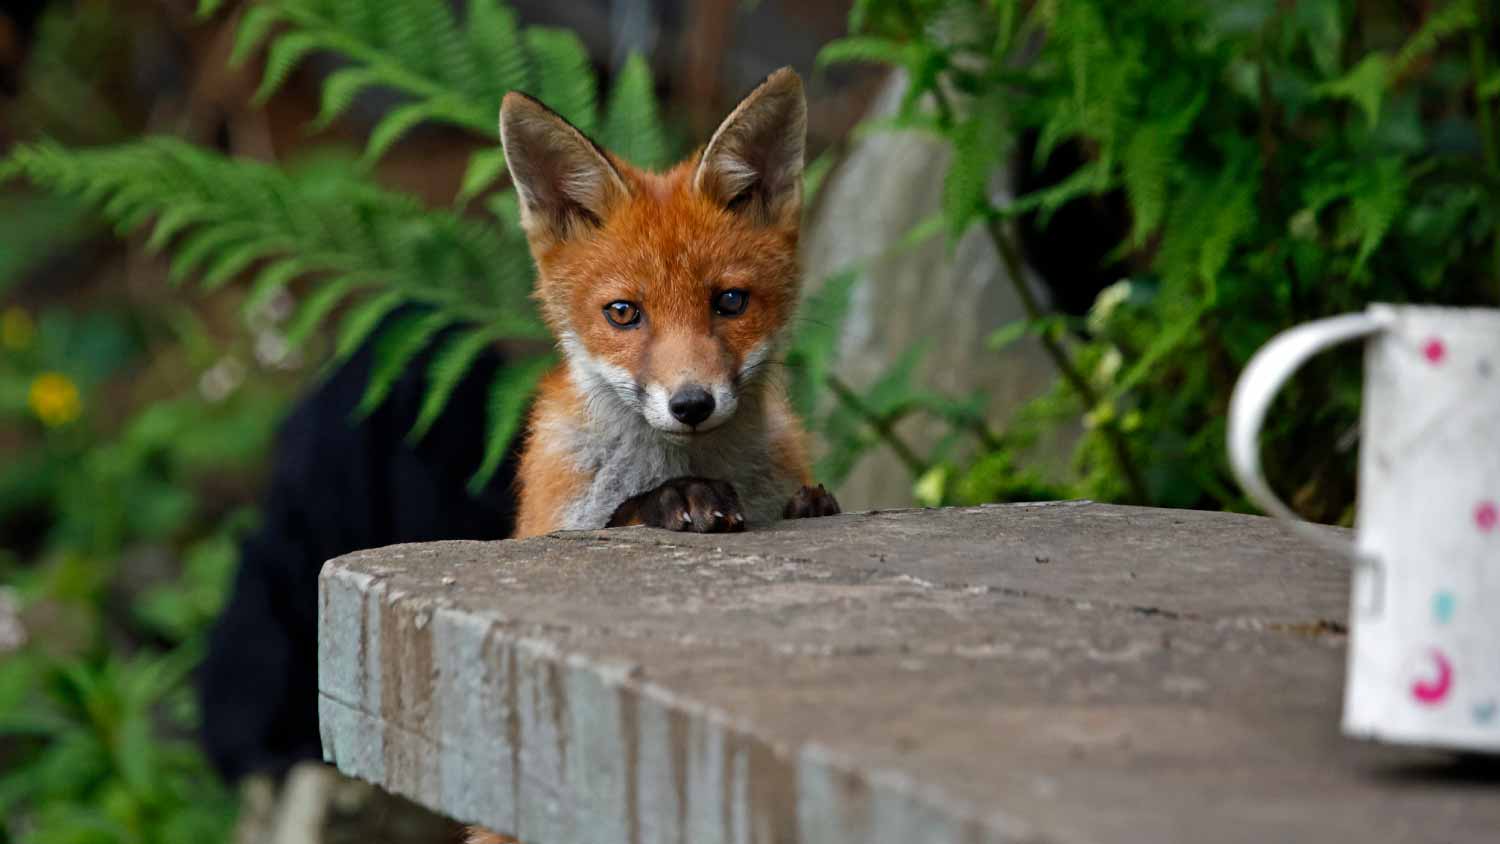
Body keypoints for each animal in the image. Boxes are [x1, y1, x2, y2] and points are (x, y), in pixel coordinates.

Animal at [495, 64, 840, 542]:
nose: (692, 405)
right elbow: (620, 514)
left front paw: (810, 506)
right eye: (622, 312)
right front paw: (675, 497)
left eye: (730, 301)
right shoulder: (550, 524)